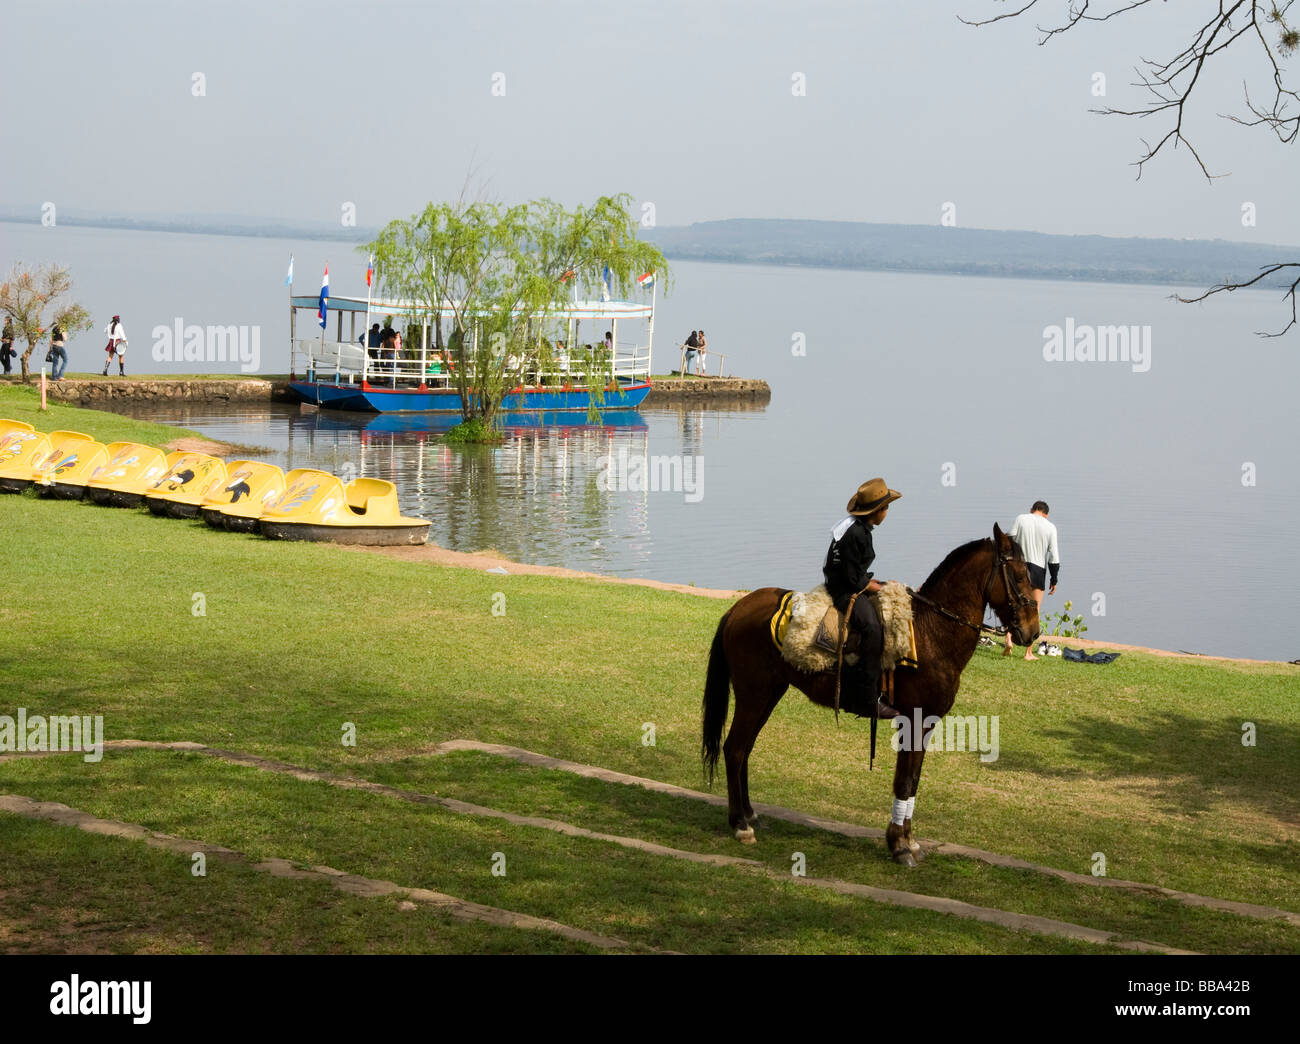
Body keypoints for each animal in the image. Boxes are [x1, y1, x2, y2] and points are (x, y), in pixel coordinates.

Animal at [707, 527, 1040, 863]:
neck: (931, 632)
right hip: (753, 693)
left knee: (745, 749)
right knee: (735, 749)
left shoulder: (927, 723)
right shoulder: (913, 720)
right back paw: (740, 825)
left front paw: (908, 840)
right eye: (1018, 575)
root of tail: (738, 608)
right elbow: (904, 782)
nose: (1033, 632)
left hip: (769, 693)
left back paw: (749, 814)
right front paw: (899, 844)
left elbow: (913, 781)